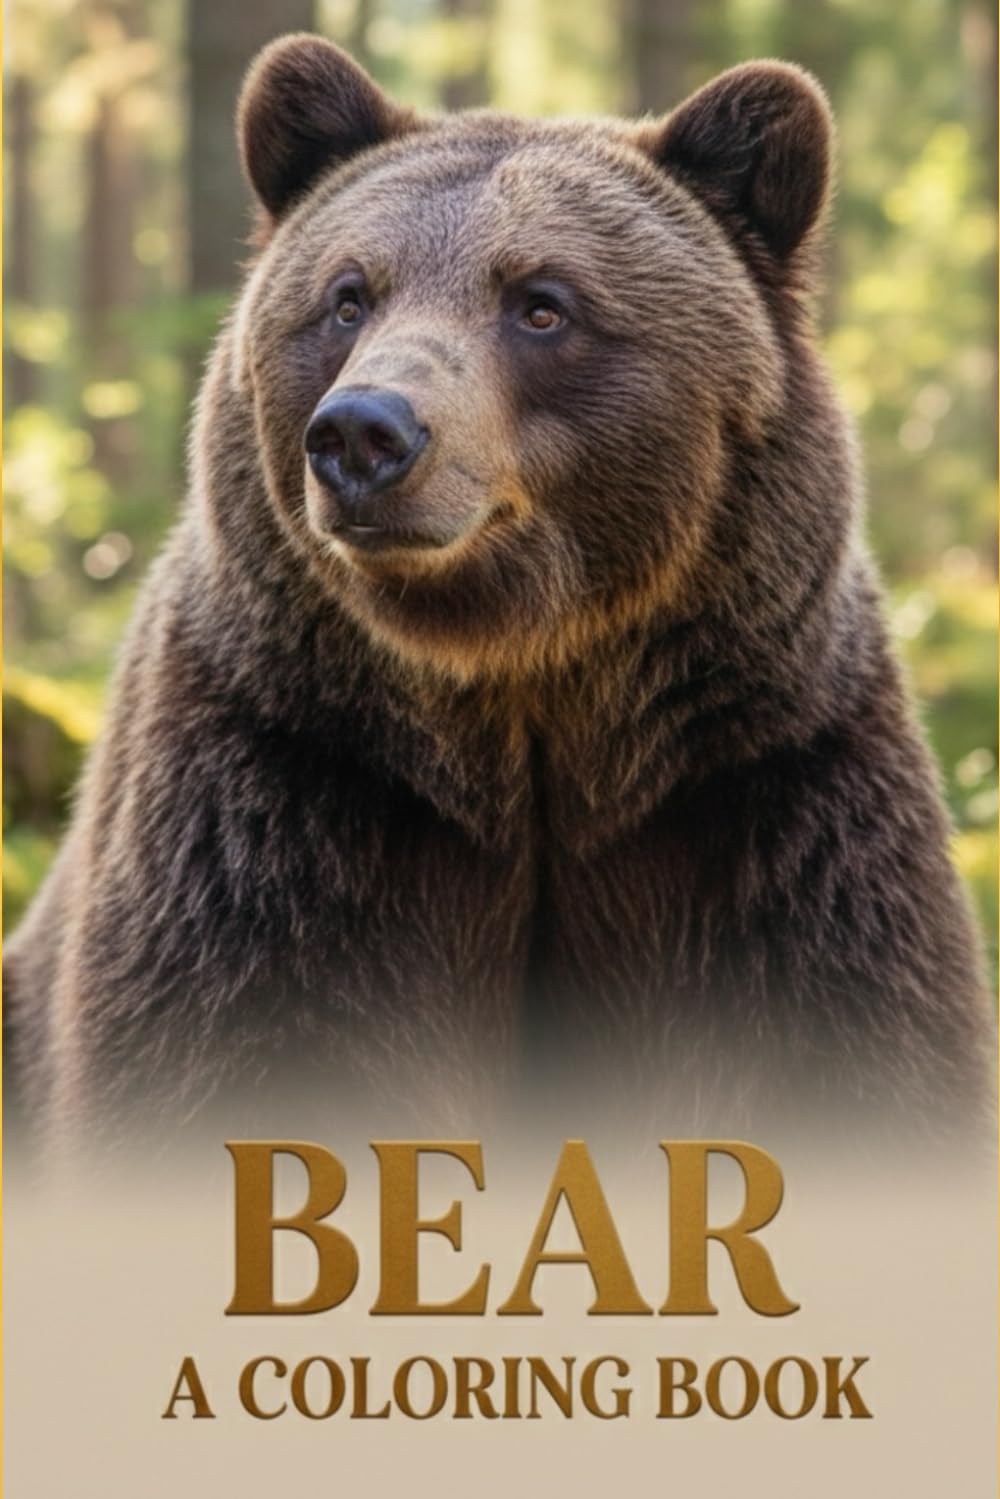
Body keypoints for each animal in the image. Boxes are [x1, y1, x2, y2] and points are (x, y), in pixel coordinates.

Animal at [5, 35, 994, 1147]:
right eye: (349, 296)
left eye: (541, 302)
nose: (363, 432)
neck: (525, 697)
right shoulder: (279, 796)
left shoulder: (764, 795)